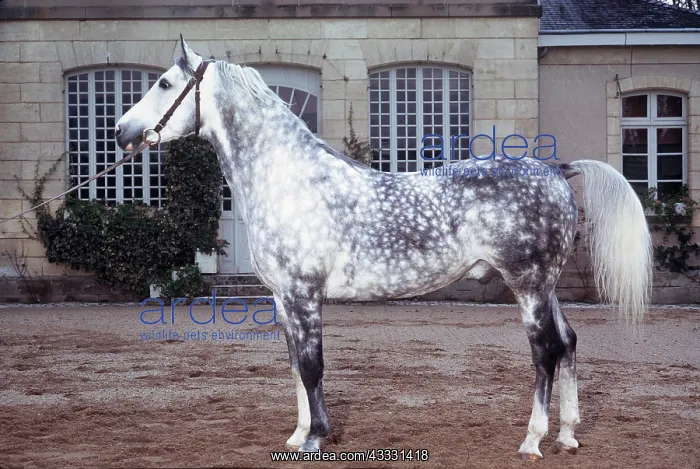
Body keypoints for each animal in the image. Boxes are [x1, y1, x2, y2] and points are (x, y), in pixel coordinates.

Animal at [115, 37, 653, 461]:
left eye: (164, 83)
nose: (121, 133)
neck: (290, 179)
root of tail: (556, 169)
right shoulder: (283, 299)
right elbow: (295, 367)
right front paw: (299, 435)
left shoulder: (304, 295)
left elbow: (312, 366)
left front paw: (317, 438)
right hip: (548, 287)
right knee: (569, 343)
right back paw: (567, 436)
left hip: (528, 285)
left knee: (545, 352)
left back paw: (533, 441)